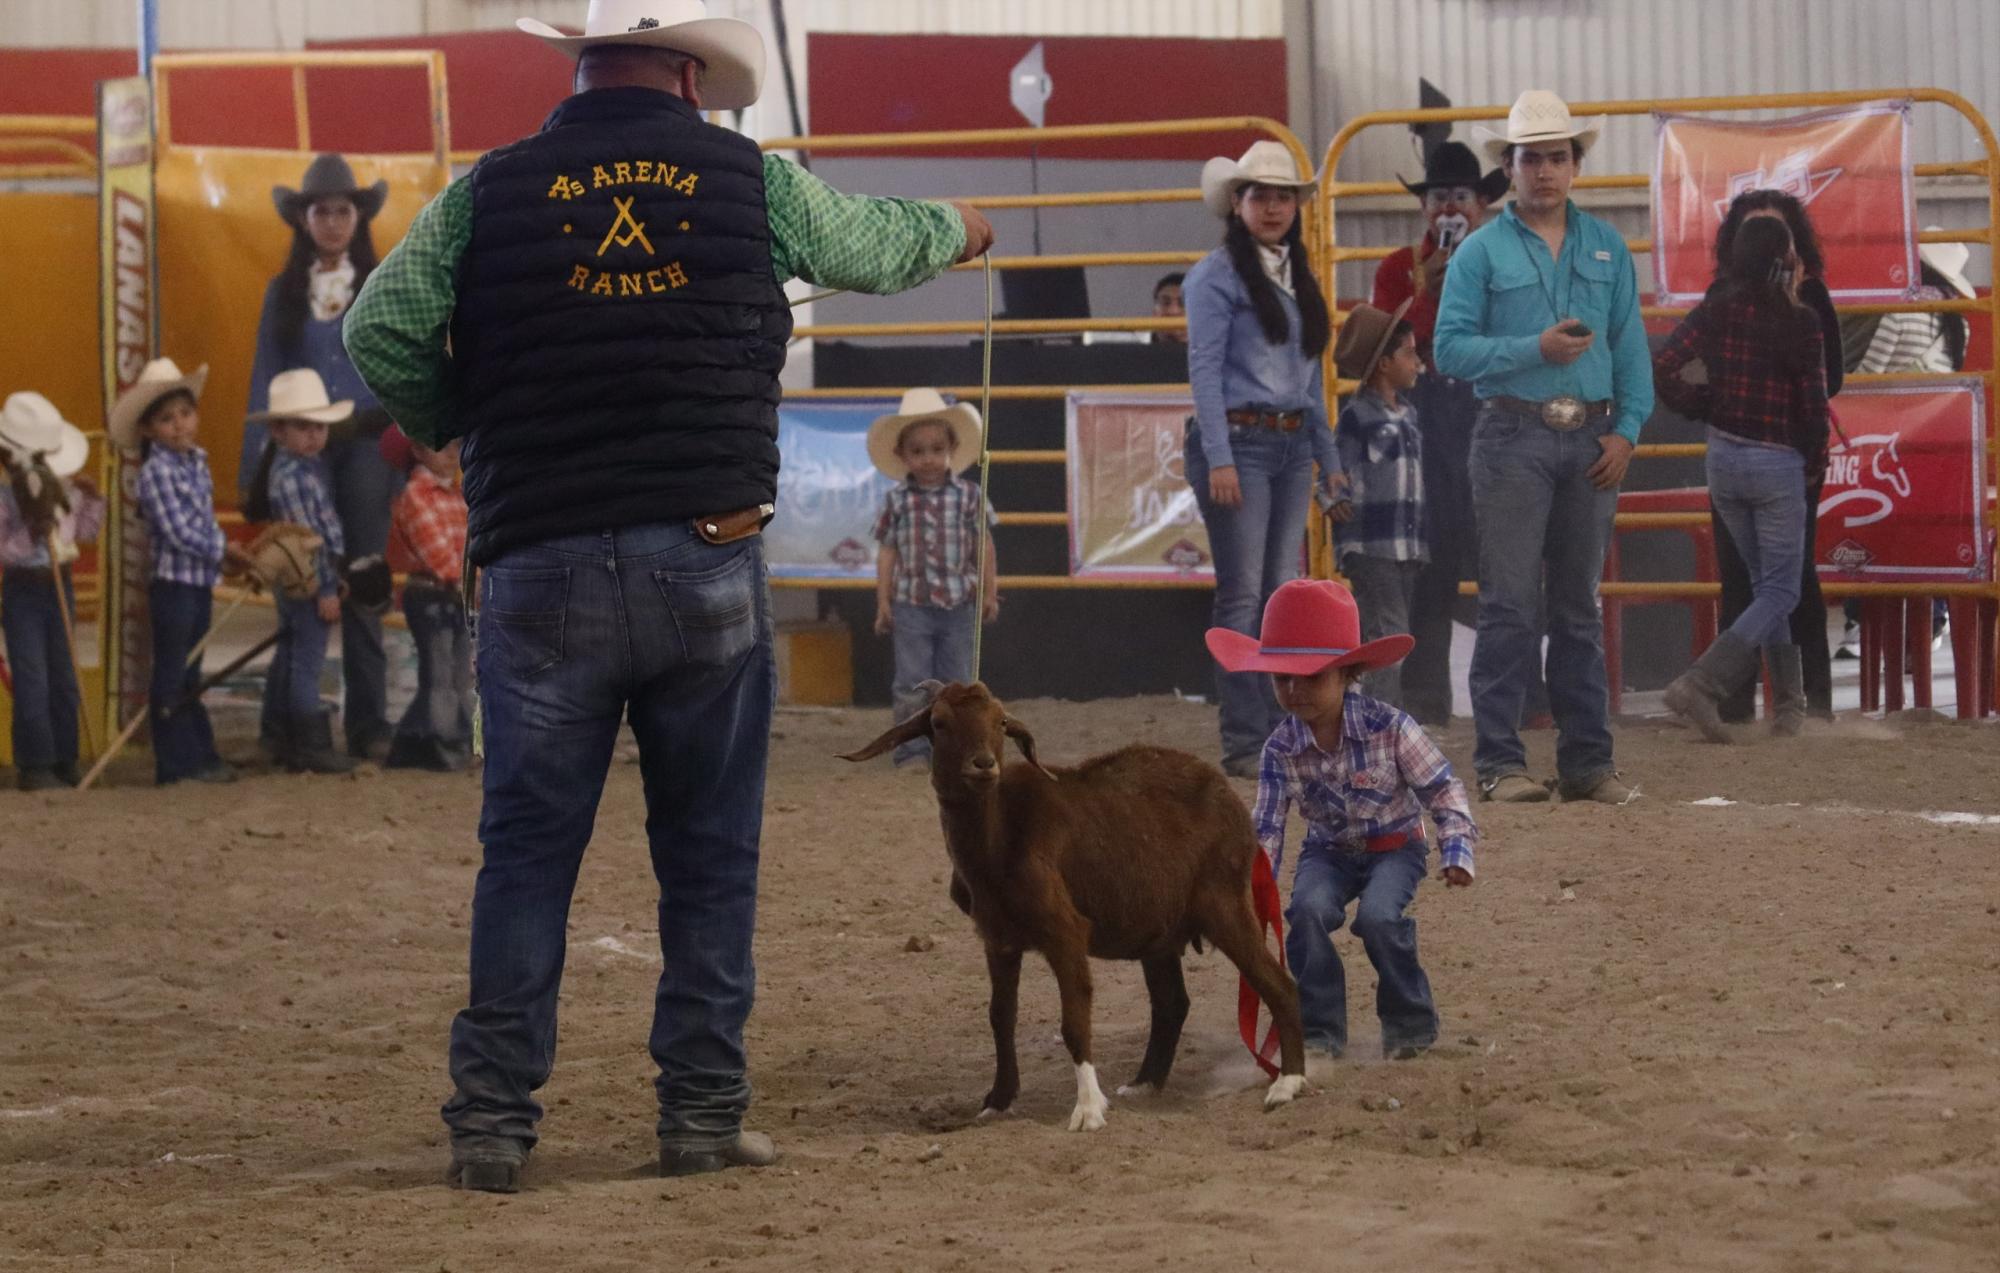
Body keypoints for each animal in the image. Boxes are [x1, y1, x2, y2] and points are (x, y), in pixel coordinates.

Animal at [836, 680, 1304, 1128]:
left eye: (1000, 722)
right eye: (939, 723)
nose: (983, 765)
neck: (998, 837)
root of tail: (1233, 801)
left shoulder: (1065, 932)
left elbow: (1074, 1021)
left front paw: (1088, 1110)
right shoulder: (998, 940)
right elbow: (1001, 1016)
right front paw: (997, 1101)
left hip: (1225, 904)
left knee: (1278, 983)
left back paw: (1288, 1082)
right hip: (1158, 931)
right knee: (1172, 1002)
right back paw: (1145, 1083)